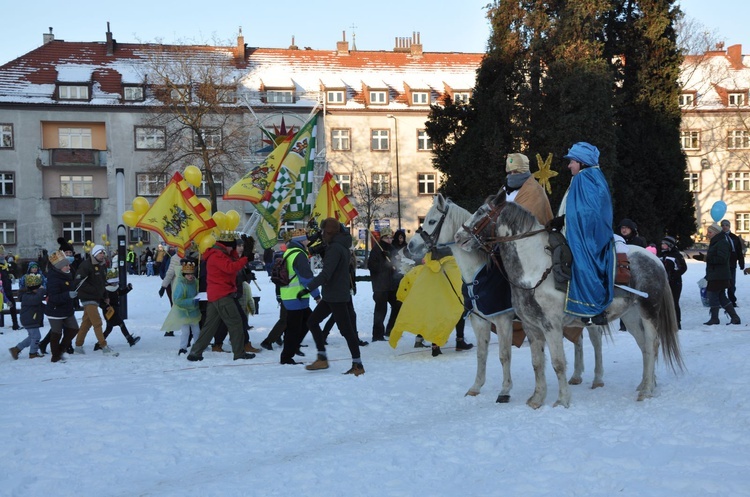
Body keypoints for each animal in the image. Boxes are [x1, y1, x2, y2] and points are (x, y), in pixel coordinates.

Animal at [458, 192, 688, 404]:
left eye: (481, 211)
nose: (460, 236)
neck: (535, 269)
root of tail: (656, 260)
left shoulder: (550, 325)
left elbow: (558, 363)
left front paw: (562, 400)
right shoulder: (531, 326)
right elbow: (537, 363)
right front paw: (537, 400)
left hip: (649, 312)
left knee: (652, 344)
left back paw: (646, 390)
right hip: (631, 316)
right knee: (644, 348)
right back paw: (645, 384)